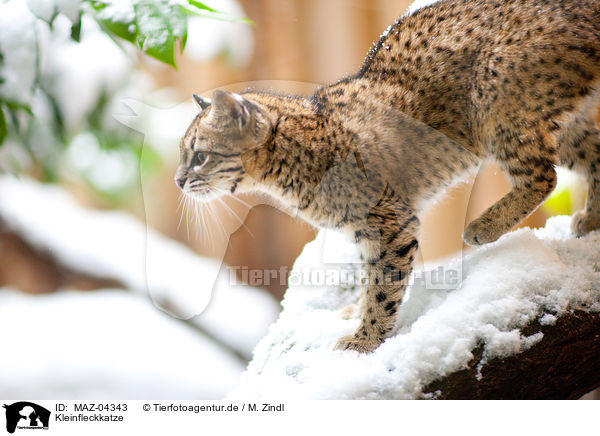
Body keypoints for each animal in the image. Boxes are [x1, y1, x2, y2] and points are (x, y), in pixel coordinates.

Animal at [175, 0, 600, 352]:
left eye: (199, 156)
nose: (178, 181)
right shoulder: (369, 231)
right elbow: (370, 279)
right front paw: (356, 314)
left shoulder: (391, 223)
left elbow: (384, 286)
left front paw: (365, 340)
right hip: (563, 122)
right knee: (593, 154)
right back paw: (590, 221)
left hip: (495, 99)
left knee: (543, 177)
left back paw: (482, 227)